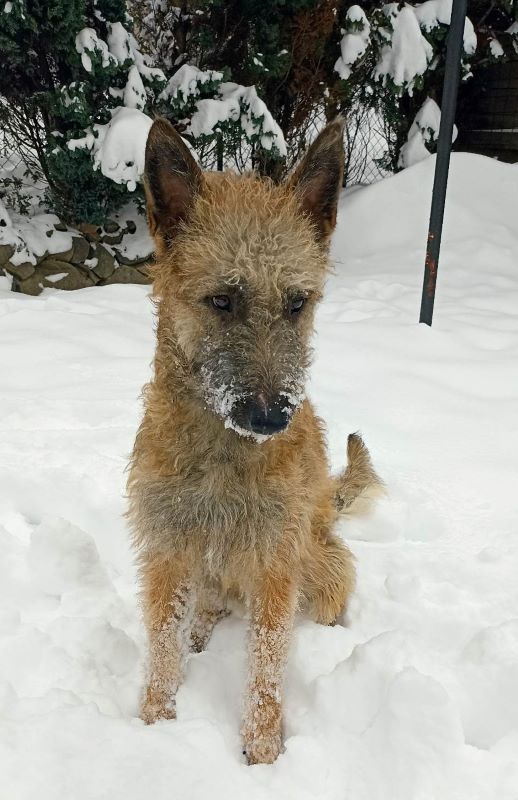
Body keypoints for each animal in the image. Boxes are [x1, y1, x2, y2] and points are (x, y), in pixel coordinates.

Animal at [128, 117, 384, 764]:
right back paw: (201, 632)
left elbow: (267, 658)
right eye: (222, 299)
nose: (271, 418)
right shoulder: (169, 547)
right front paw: (154, 721)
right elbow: (162, 640)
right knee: (211, 605)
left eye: (297, 302)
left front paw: (264, 747)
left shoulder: (274, 558)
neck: (224, 453)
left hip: (314, 557)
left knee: (329, 591)